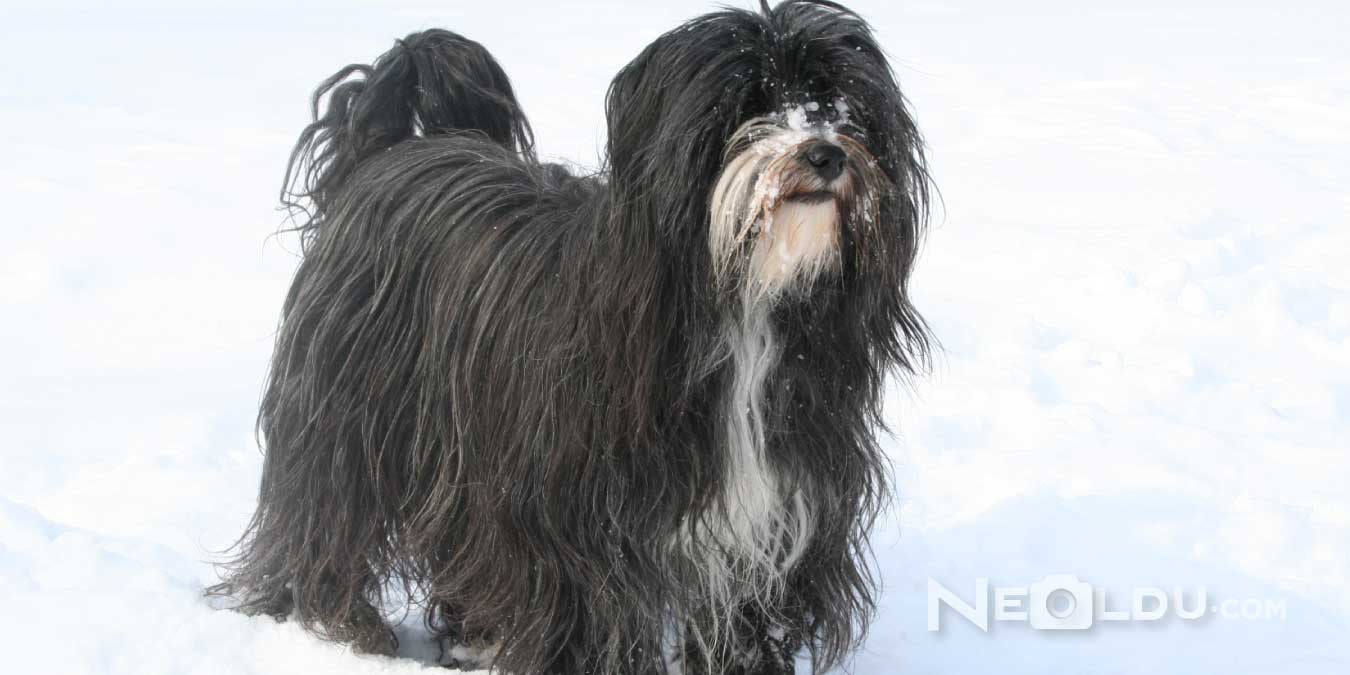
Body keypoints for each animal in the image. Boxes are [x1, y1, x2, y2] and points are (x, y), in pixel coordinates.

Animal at [213, 2, 928, 672]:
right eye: (748, 103)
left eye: (838, 104)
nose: (826, 152)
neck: (742, 303)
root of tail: (391, 151)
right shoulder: (575, 527)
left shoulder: (776, 514)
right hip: (350, 413)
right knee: (330, 511)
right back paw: (342, 622)